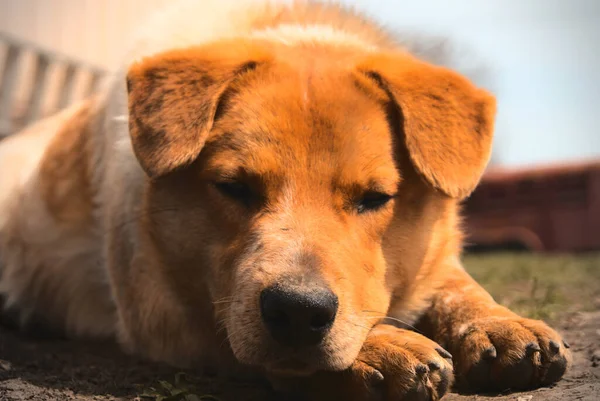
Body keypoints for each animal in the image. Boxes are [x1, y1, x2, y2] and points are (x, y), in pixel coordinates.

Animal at [0, 1, 568, 398]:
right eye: (234, 188)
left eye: (374, 198)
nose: (298, 311)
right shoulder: (164, 312)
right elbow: (241, 334)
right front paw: (380, 348)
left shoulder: (436, 255)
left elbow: (457, 285)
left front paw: (500, 322)